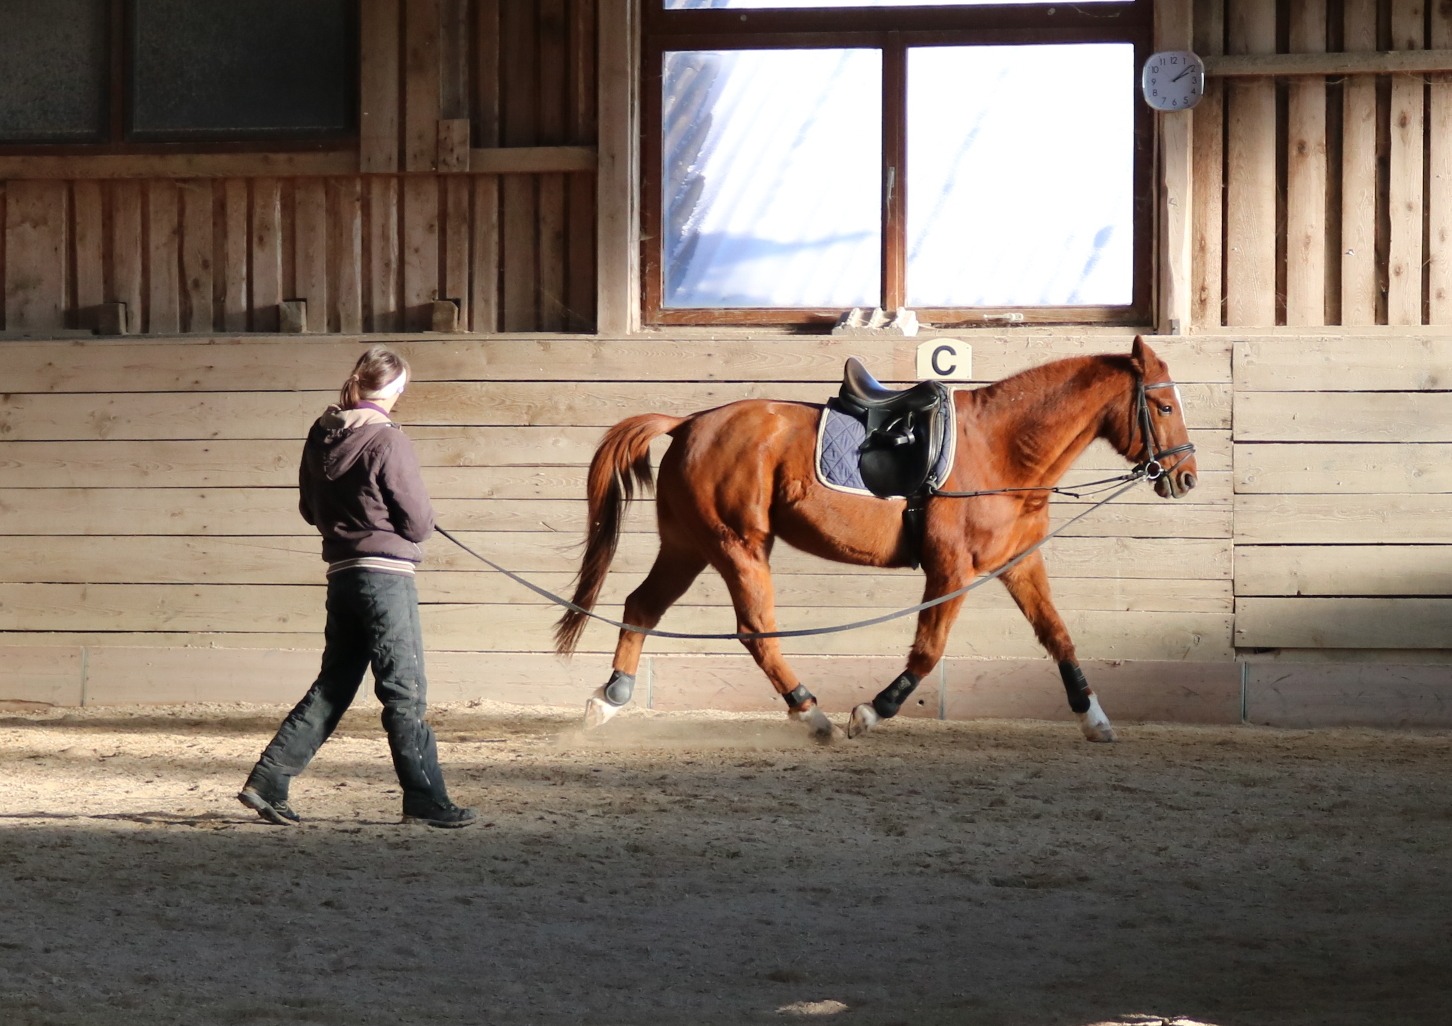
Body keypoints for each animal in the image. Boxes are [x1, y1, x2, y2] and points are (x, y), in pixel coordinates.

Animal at [553, 335, 1197, 742]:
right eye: (1164, 406)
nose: (1186, 476)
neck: (1004, 448)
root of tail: (688, 423)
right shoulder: (951, 569)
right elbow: (929, 650)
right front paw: (872, 711)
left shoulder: (1017, 563)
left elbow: (1058, 636)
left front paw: (1093, 717)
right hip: (737, 546)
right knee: (756, 631)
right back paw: (812, 715)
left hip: (689, 546)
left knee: (642, 606)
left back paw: (610, 698)